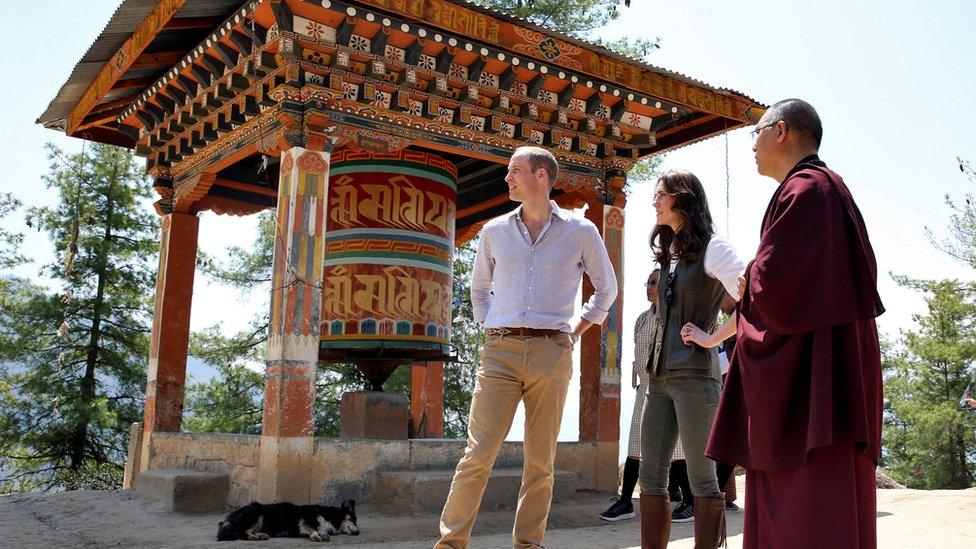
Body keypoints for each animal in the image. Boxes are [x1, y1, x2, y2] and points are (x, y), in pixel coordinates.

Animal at [215, 500, 360, 540]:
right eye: (353, 520)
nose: (358, 532)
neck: (329, 515)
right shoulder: (305, 520)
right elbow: (313, 529)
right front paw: (316, 536)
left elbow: (321, 530)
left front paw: (323, 534)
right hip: (256, 515)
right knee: (243, 533)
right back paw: (255, 537)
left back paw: (261, 535)